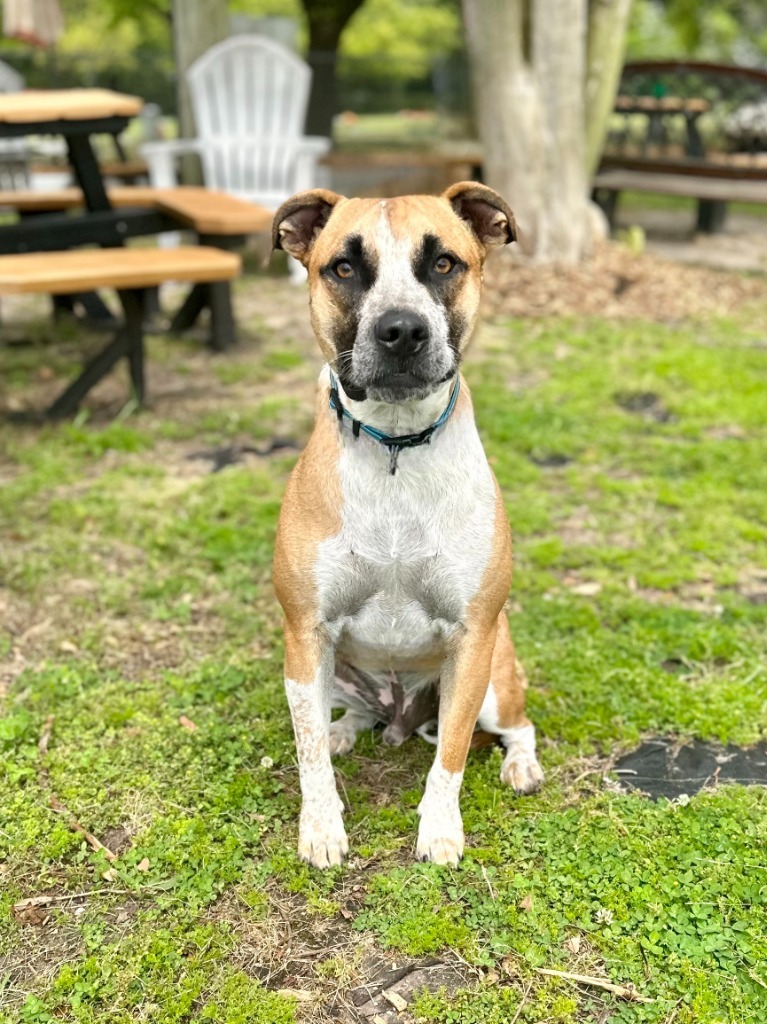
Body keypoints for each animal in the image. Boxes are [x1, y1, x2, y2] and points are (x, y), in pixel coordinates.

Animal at [272, 182, 540, 864]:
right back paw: (349, 730)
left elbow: (450, 757)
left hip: (495, 684)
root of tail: (399, 719)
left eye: (444, 263)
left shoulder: (471, 641)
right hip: (330, 671)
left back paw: (521, 767)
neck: (395, 445)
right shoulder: (305, 638)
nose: (401, 330)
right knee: (343, 718)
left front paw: (440, 831)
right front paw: (321, 829)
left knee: (518, 726)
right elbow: (308, 753)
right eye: (343, 268)